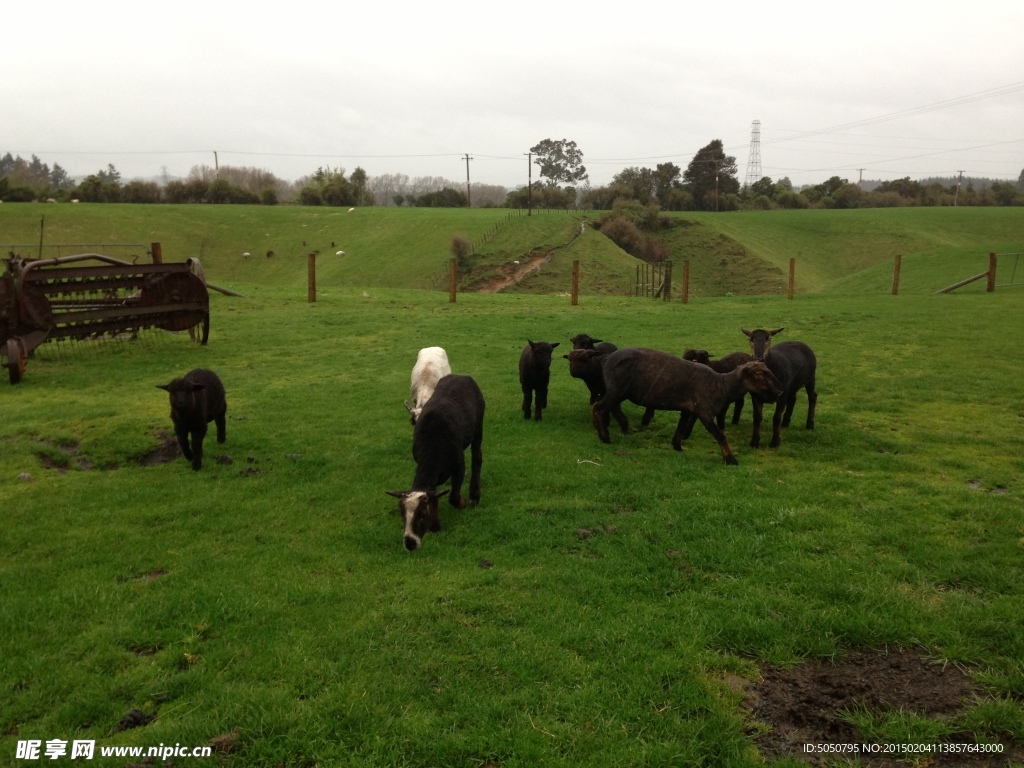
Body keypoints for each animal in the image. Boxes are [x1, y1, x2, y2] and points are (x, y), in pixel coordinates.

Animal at [385, 374, 485, 548]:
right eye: (401, 512)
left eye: (423, 513)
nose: (410, 542)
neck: (431, 449)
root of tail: (461, 376)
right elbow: (434, 494)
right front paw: (435, 526)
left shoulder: (459, 463)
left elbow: (452, 497)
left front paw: (462, 502)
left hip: (478, 425)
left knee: (477, 456)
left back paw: (474, 495)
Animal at [589, 348, 778, 466]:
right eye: (759, 374)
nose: (778, 392)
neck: (721, 385)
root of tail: (605, 359)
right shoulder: (705, 411)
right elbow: (720, 434)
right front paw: (730, 459)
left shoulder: (687, 409)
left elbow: (680, 428)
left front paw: (677, 447)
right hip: (617, 389)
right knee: (598, 407)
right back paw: (605, 437)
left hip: (618, 391)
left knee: (608, 408)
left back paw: (621, 426)